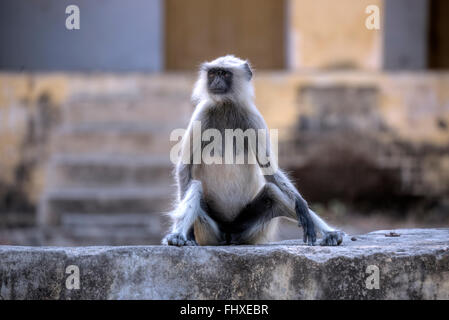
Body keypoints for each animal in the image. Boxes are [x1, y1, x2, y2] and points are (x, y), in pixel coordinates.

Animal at [162, 55, 344, 246]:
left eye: (224, 74)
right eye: (212, 73)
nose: (216, 81)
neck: (226, 106)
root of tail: (228, 234)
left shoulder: (252, 116)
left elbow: (270, 171)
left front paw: (302, 205)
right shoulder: (202, 113)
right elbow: (185, 167)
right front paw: (186, 233)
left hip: (246, 231)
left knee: (273, 193)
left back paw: (329, 232)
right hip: (209, 232)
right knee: (196, 186)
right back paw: (178, 236)